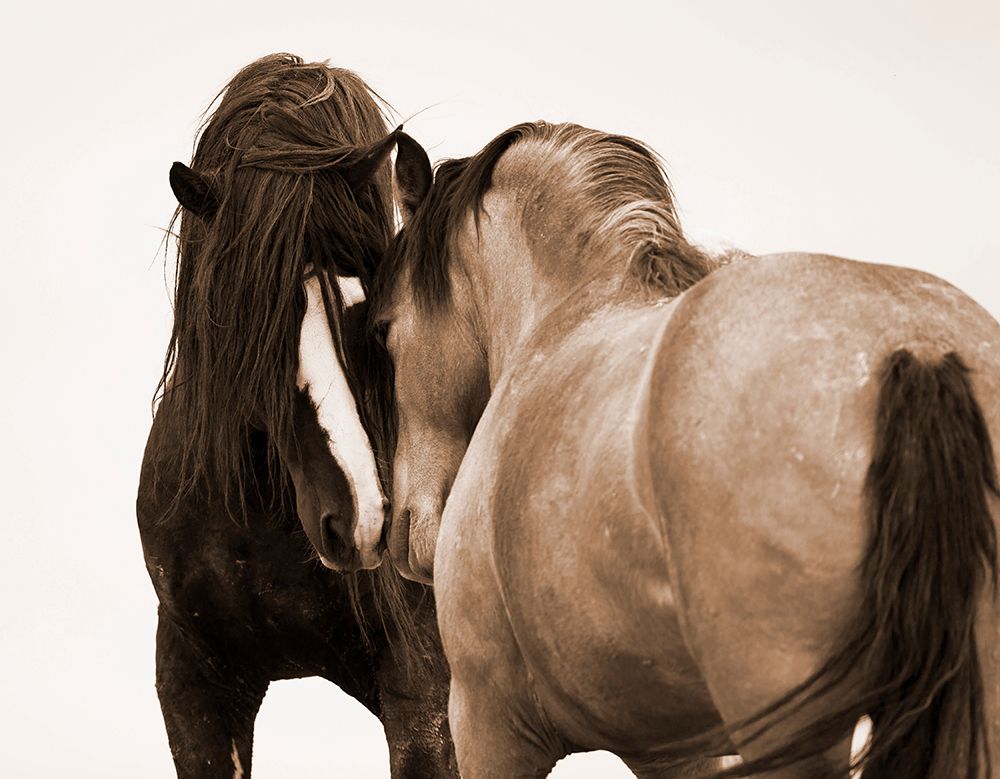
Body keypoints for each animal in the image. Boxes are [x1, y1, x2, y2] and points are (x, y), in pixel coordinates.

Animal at [370, 122, 1000, 777]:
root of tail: (917, 347)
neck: (564, 316)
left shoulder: (487, 721)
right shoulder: (677, 748)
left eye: (382, 330)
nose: (405, 531)